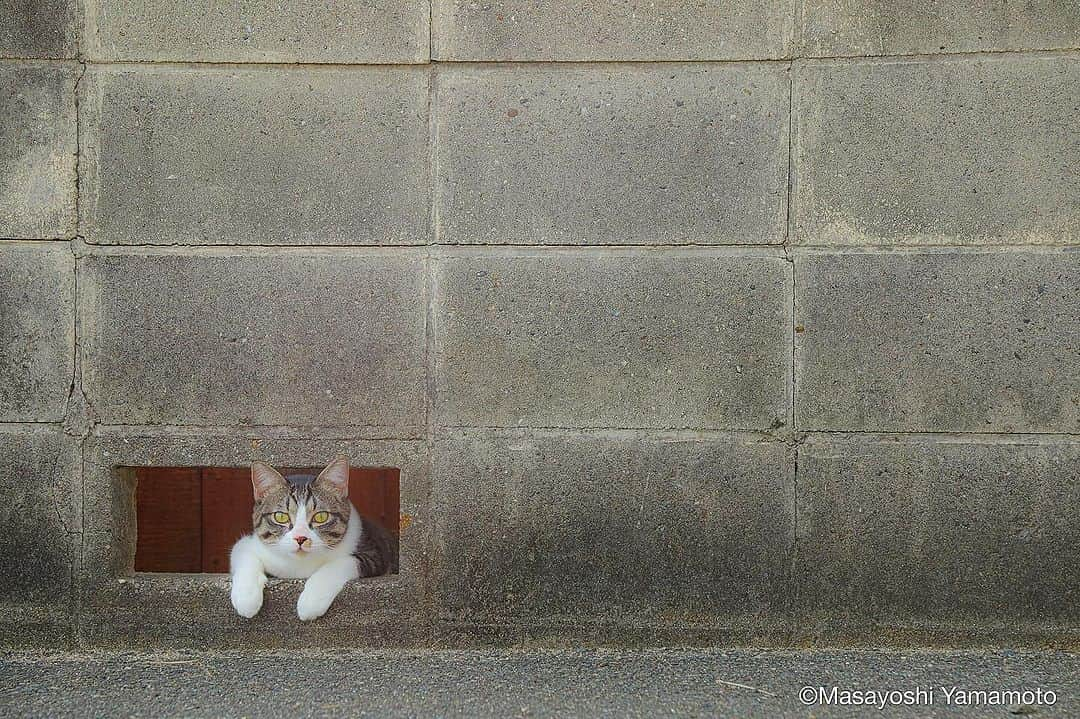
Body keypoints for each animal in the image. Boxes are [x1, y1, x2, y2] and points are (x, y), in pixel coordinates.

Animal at [230, 455, 399, 617]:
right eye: (281, 517)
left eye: (321, 517)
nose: (300, 538)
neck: (301, 565)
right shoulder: (249, 543)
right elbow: (242, 553)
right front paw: (246, 598)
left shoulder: (375, 552)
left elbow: (341, 563)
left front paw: (311, 602)